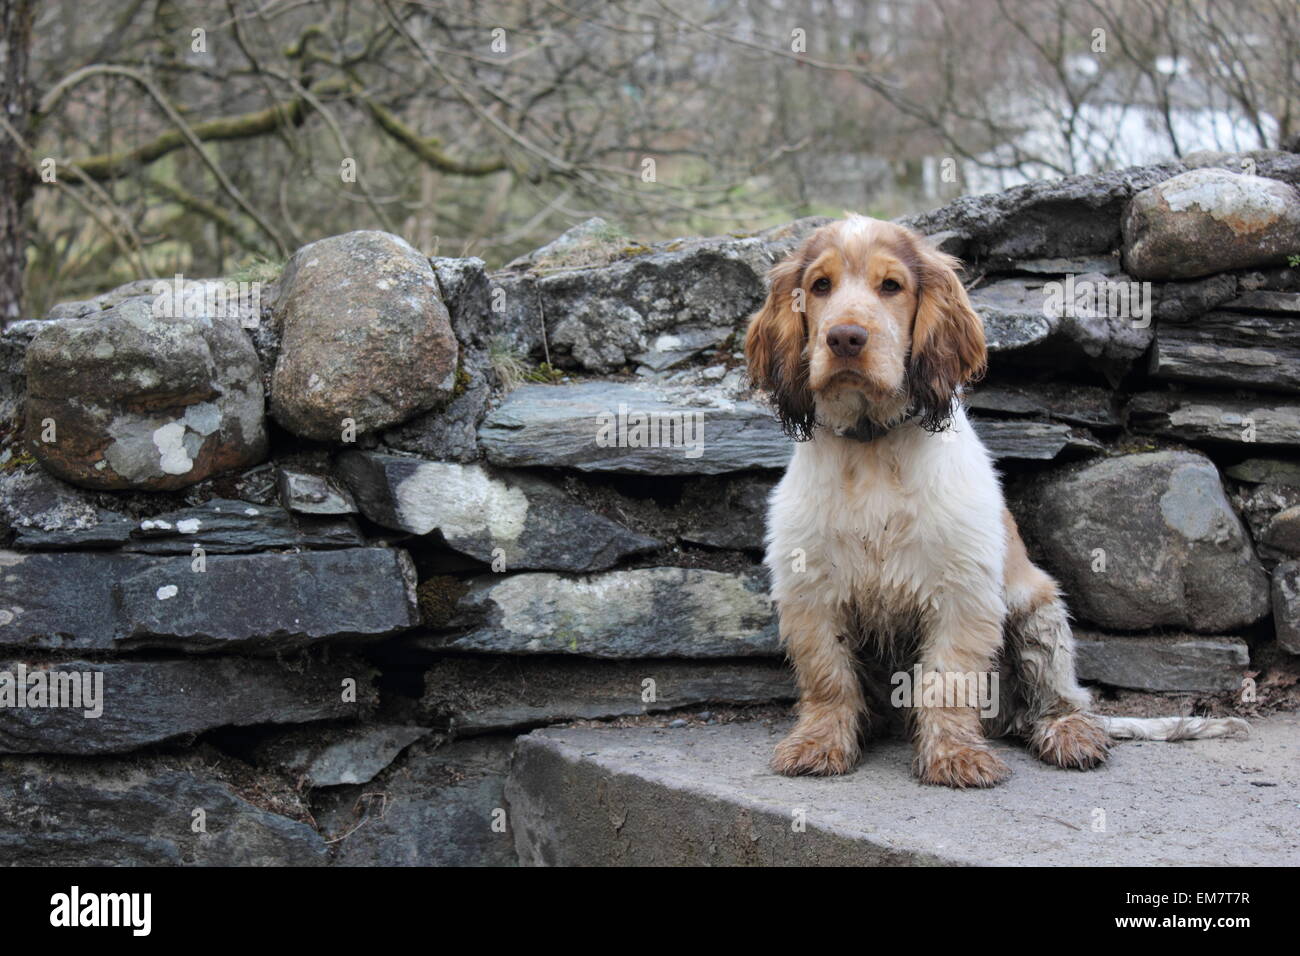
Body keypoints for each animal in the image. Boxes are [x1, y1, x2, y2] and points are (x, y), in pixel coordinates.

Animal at [748, 217, 1242, 790]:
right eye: (820, 286)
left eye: (891, 286)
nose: (845, 338)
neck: (873, 443)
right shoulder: (811, 589)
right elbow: (828, 679)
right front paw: (818, 744)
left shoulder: (963, 591)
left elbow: (948, 680)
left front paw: (955, 756)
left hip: (1038, 610)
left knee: (1062, 700)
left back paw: (1071, 735)